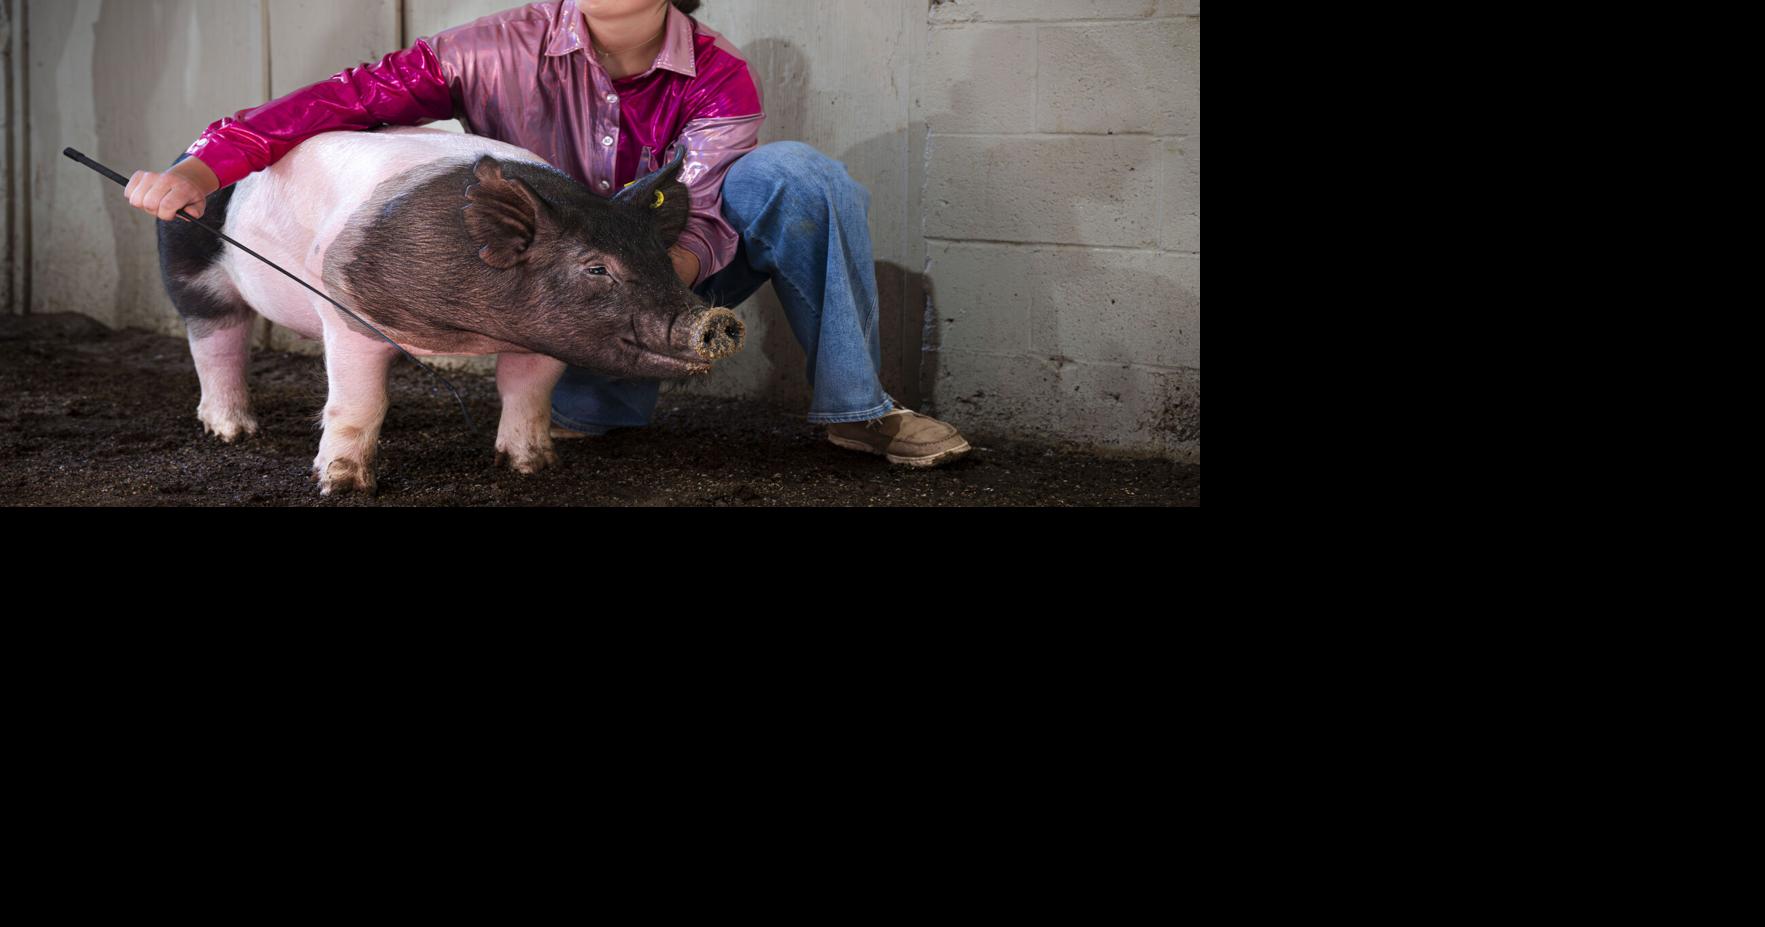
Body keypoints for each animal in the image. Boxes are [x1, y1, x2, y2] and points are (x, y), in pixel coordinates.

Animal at [153, 128, 751, 497]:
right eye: (596, 268)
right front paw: (342, 486)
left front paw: (533, 466)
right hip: (190, 269)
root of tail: (179, 158)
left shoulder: (544, 338)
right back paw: (233, 432)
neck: (469, 329)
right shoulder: (344, 306)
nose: (715, 321)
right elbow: (360, 402)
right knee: (216, 341)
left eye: (662, 260)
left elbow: (527, 394)